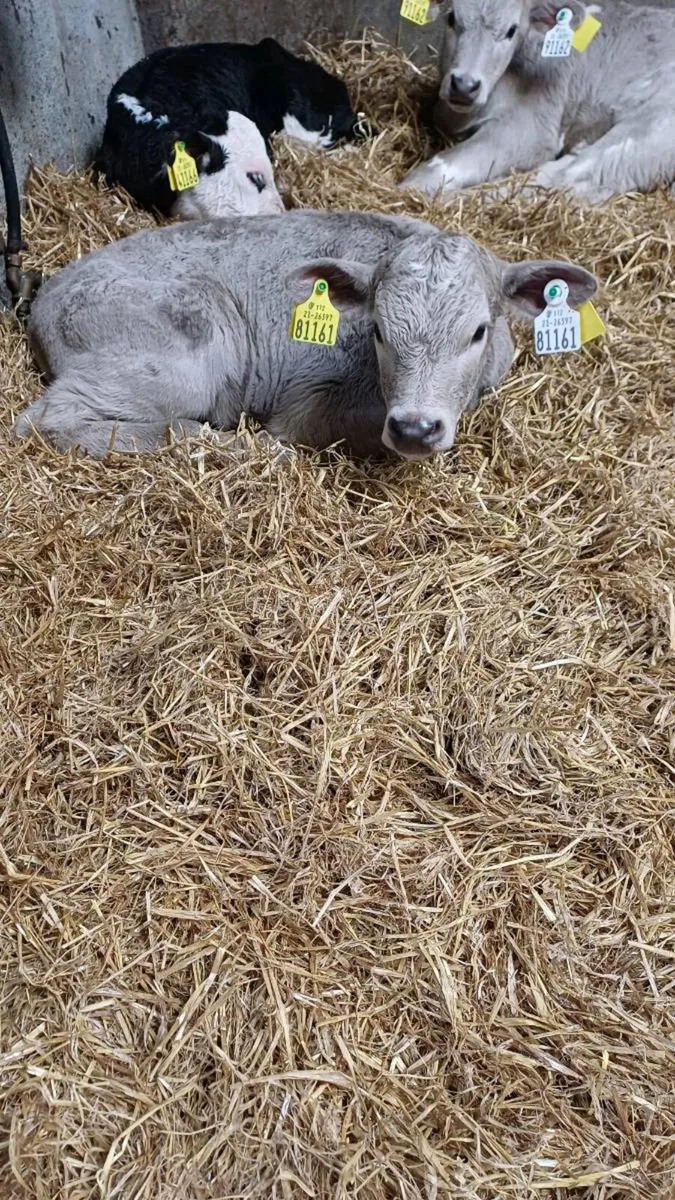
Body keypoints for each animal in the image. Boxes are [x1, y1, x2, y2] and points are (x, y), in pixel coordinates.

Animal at [14, 210, 596, 461]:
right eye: (378, 330)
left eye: (477, 332)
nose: (413, 428)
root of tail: (46, 296)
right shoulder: (310, 403)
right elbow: (303, 429)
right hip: (185, 350)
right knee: (45, 421)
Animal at [400, 0, 675, 203]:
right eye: (451, 19)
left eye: (512, 30)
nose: (464, 86)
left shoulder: (532, 128)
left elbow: (434, 168)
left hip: (646, 128)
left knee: (565, 178)